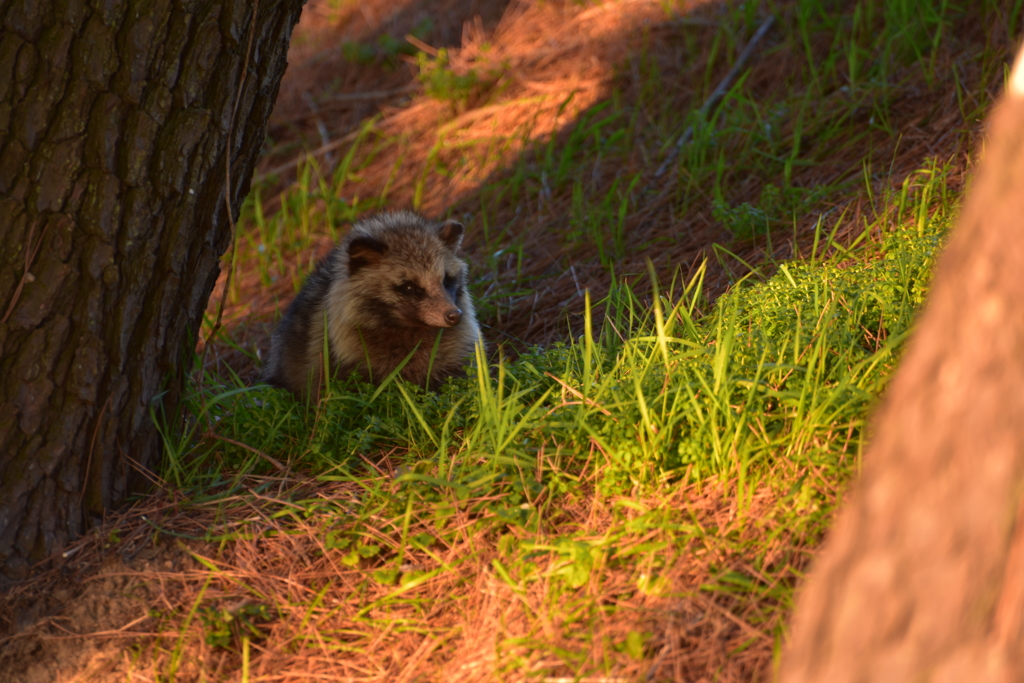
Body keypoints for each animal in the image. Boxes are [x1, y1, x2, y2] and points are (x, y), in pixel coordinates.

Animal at [260, 210, 475, 397]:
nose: (454, 315)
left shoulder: (454, 351)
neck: (410, 327)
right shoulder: (341, 355)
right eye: (409, 287)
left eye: (446, 280)